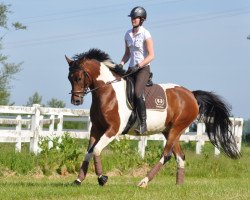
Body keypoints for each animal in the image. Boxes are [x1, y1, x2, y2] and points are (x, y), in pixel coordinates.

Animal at [66, 48, 240, 188]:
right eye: (69, 78)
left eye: (79, 78)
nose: (76, 101)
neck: (108, 93)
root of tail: (191, 94)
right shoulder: (96, 128)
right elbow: (89, 151)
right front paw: (78, 180)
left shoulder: (113, 129)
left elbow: (96, 150)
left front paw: (102, 178)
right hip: (169, 131)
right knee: (180, 156)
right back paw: (179, 185)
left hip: (177, 128)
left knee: (167, 155)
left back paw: (144, 181)